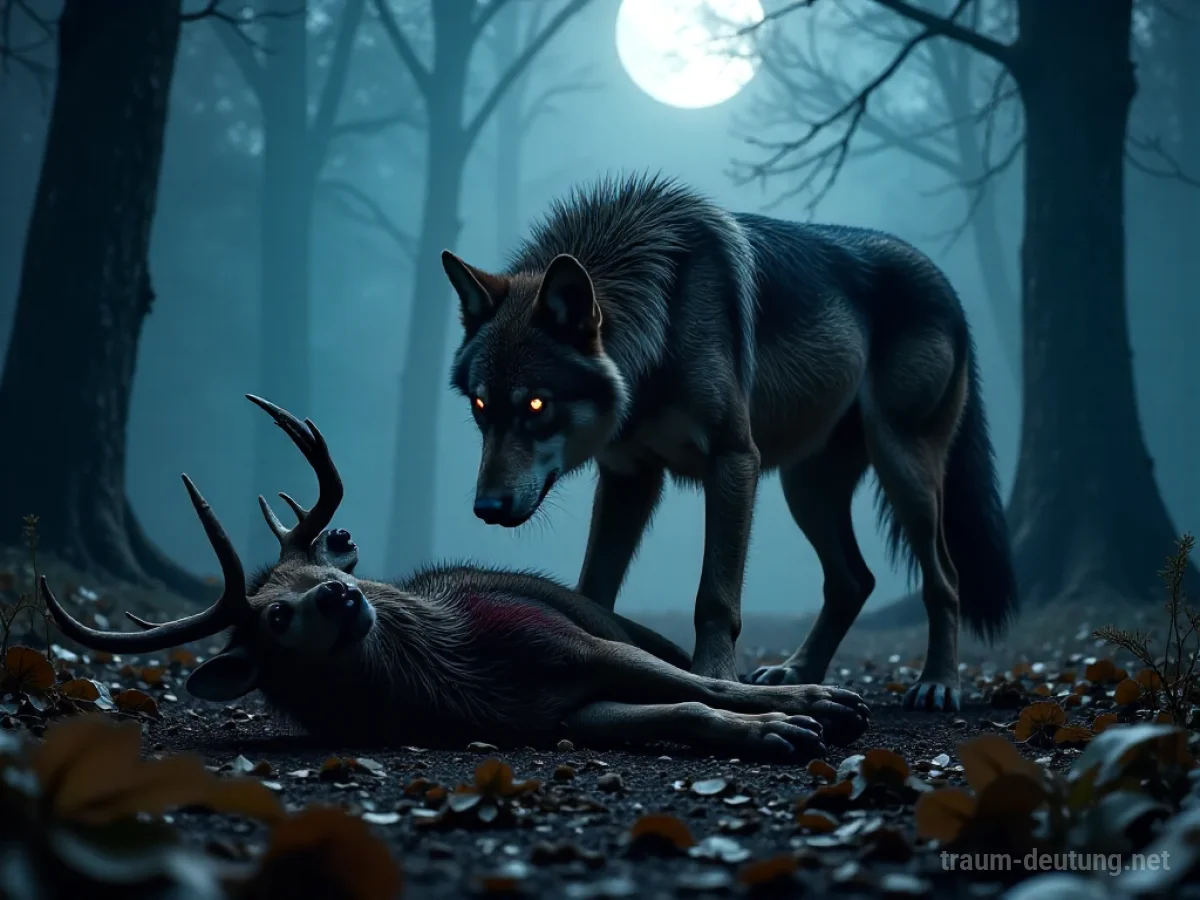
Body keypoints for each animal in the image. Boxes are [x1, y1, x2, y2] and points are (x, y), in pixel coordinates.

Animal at [442, 173, 1017, 712]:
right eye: (480, 407)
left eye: (537, 406)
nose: (486, 508)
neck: (661, 321)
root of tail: (945, 282)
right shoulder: (629, 477)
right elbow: (592, 591)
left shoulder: (734, 460)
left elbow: (714, 598)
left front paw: (715, 678)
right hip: (806, 489)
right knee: (854, 581)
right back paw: (796, 672)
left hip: (902, 468)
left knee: (945, 578)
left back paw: (938, 684)